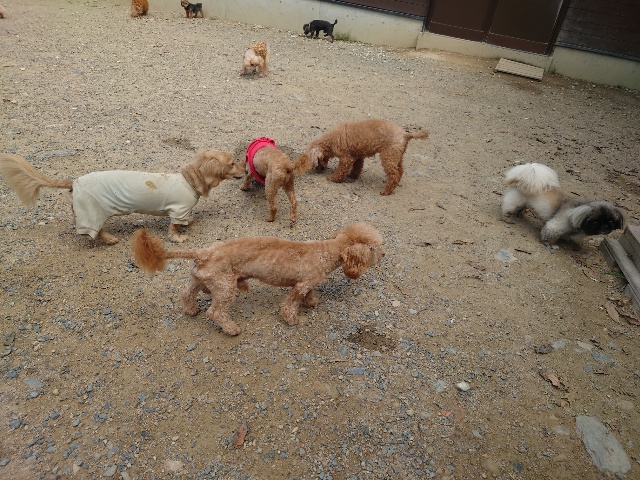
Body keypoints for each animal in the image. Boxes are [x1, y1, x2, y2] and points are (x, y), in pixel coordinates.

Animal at [0, 150, 244, 245]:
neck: (189, 179)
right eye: (233, 163)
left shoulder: (181, 211)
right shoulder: (178, 209)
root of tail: (74, 182)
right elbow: (174, 226)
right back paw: (109, 239)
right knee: (94, 230)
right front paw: (178, 238)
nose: (245, 169)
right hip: (94, 211)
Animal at [132, 223, 384, 335]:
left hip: (203, 279)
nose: (384, 255)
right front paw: (292, 319)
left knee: (186, 293)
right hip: (225, 288)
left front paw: (312, 302)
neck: (327, 251)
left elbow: (310, 293)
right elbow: (290, 304)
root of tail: (204, 252)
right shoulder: (301, 285)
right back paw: (231, 328)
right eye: (375, 249)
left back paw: (191, 310)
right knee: (215, 312)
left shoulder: (307, 283)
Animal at [297, 119, 429, 195]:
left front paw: (333, 178)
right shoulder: (357, 155)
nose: (317, 170)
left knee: (393, 175)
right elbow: (357, 167)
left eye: (314, 162)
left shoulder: (346, 158)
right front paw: (352, 176)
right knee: (400, 171)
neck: (331, 140)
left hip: (388, 156)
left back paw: (386, 191)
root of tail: (405, 134)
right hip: (397, 155)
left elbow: (341, 170)